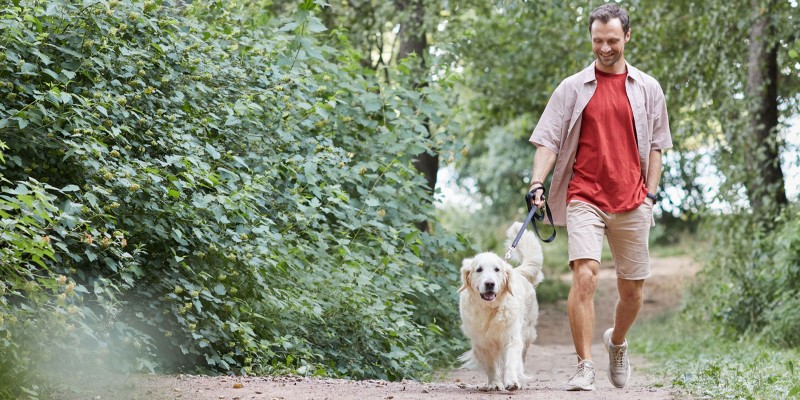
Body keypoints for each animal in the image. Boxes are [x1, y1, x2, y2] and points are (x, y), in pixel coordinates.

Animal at [456, 222, 544, 390]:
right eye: (479, 269)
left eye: (497, 269)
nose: (490, 284)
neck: (490, 309)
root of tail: (518, 271)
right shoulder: (482, 343)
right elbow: (491, 365)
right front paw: (495, 383)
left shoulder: (511, 336)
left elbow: (510, 362)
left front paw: (511, 381)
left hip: (527, 332)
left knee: (520, 357)